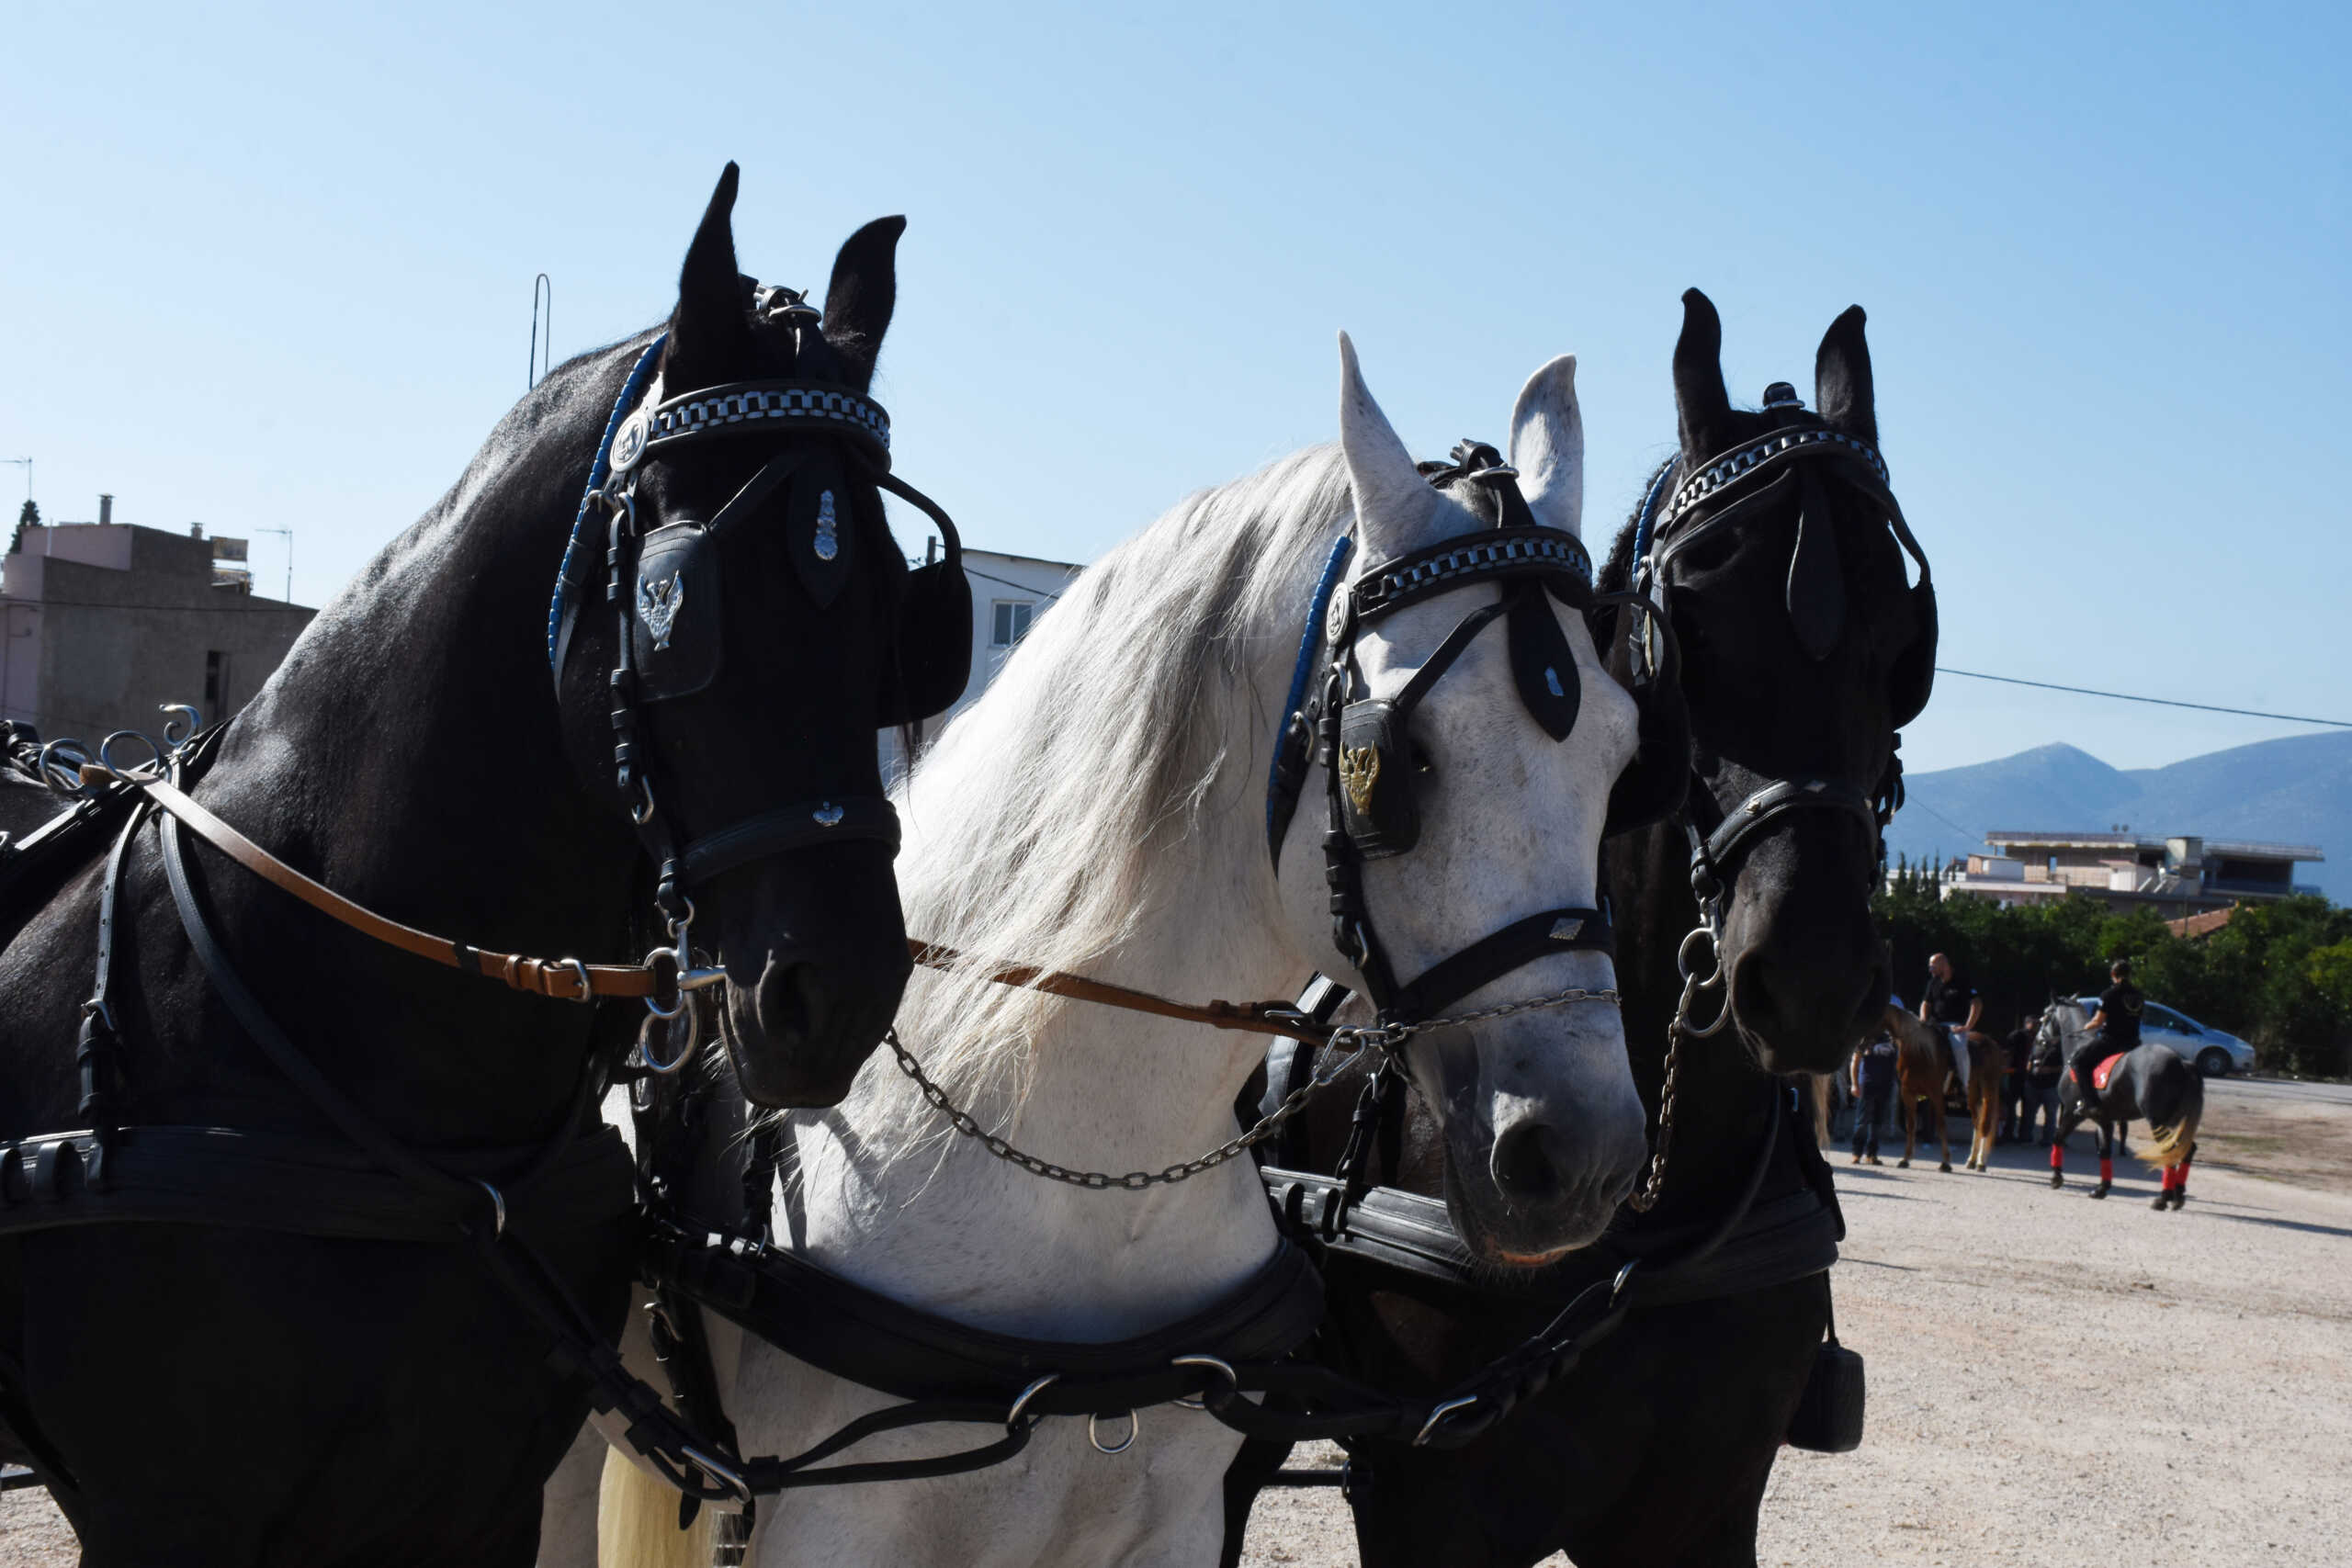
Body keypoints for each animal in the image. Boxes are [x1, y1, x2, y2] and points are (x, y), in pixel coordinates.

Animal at [557, 338, 1646, 1568]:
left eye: (1624, 755)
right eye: (1394, 761)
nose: (1584, 1154)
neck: (1087, 1183)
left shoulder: (1173, 1522)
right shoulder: (831, 1528)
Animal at [1232, 293, 1928, 1568]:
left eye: (1905, 637)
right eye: (1689, 612)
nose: (1808, 973)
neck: (1648, 1227)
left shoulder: (1702, 1514)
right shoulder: (1430, 1511)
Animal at [1891, 1010, 2004, 1170]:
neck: (1919, 1052)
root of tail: (1992, 1044)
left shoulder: (1935, 1094)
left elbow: (1940, 1125)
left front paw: (1945, 1162)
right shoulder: (1908, 1093)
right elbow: (1911, 1125)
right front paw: (1905, 1159)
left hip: (1989, 1088)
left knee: (1986, 1124)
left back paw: (1981, 1162)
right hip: (1973, 1092)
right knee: (1978, 1122)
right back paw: (1972, 1160)